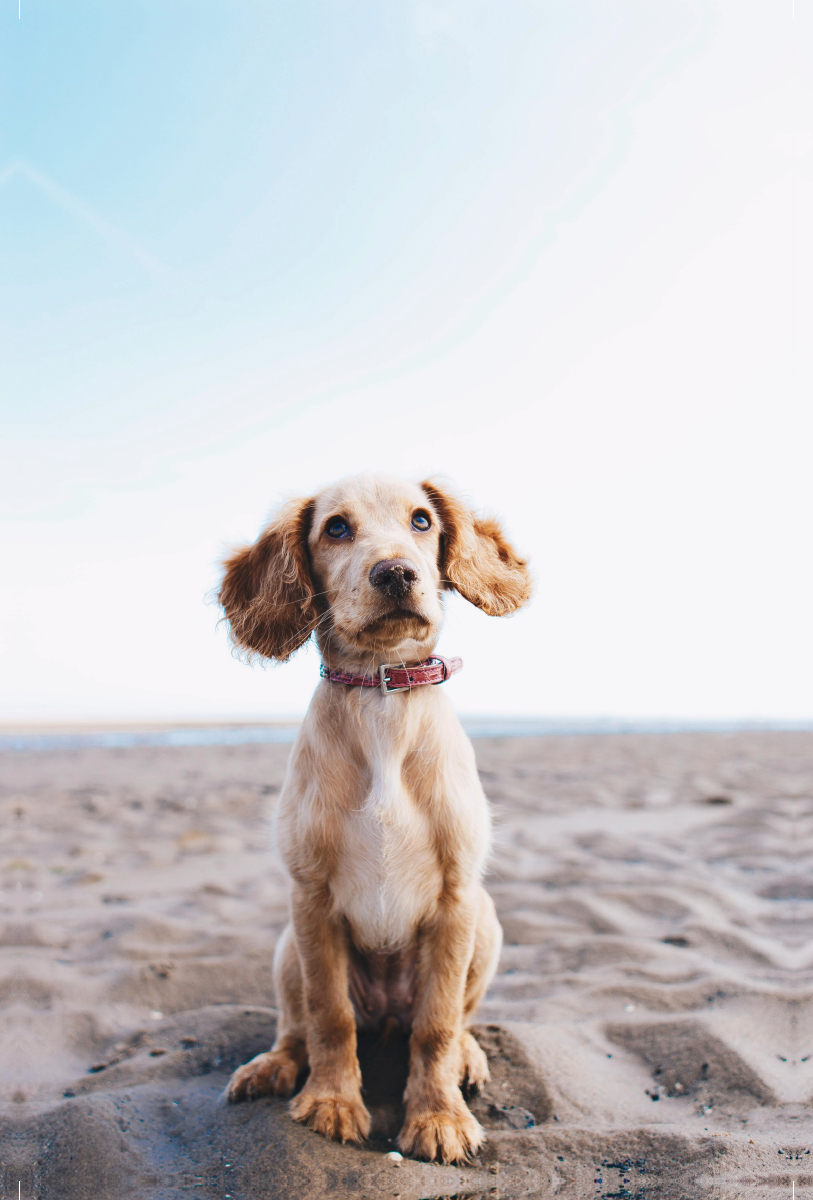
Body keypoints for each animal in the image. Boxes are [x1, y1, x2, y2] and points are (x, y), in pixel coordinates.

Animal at [219, 475, 532, 1161]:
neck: (381, 696)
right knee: (297, 1025)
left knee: (453, 1020)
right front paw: (332, 1101)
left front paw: (438, 1117)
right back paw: (273, 1065)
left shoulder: (457, 899)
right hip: (287, 946)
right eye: (336, 528)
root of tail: (386, 1015)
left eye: (421, 520)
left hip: (488, 924)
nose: (396, 573)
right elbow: (329, 1015)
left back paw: (468, 1057)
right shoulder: (310, 898)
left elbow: (436, 1025)